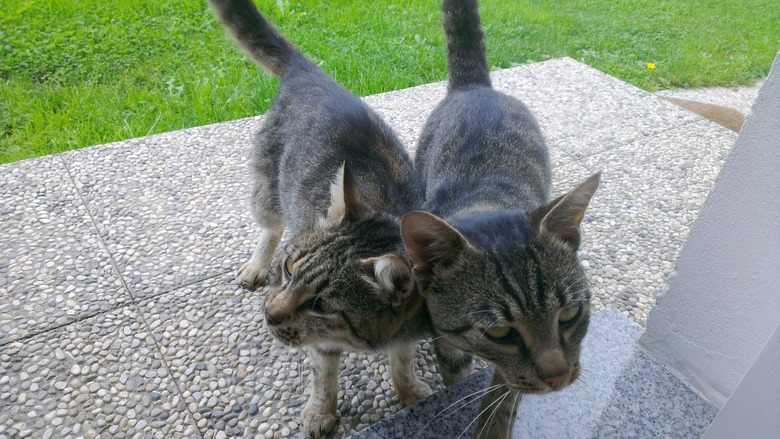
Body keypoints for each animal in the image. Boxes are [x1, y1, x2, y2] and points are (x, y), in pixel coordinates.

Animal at [207, 1, 432, 438]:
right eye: (289, 271)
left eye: (322, 306)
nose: (269, 313)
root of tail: (310, 71)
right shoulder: (322, 347)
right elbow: (323, 375)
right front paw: (320, 412)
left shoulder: (407, 330)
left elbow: (402, 361)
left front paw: (409, 390)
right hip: (268, 188)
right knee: (270, 226)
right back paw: (257, 264)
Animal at [402, 1, 604, 438]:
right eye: (500, 332)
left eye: (570, 315)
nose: (557, 377)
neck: (487, 200)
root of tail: (476, 87)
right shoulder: (443, 330)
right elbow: (457, 368)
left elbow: (505, 389)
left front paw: (494, 421)